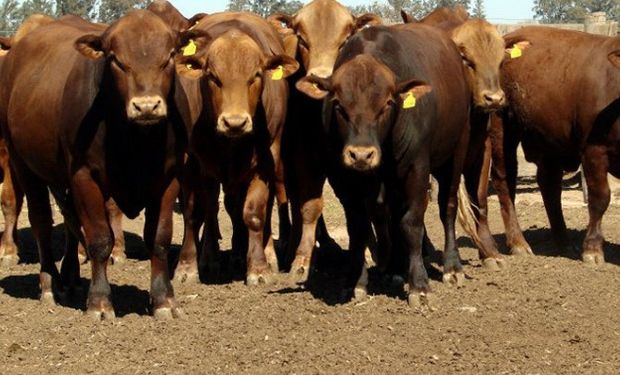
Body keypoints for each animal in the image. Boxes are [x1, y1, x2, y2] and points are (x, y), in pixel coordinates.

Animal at [0, 10, 189, 318]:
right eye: (116, 59)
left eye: (169, 56)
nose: (146, 106)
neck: (137, 141)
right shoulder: (84, 177)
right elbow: (100, 240)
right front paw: (100, 301)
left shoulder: (169, 179)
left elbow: (159, 239)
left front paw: (164, 299)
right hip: (23, 165)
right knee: (41, 222)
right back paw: (50, 284)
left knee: (69, 221)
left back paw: (70, 277)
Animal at [173, 13, 300, 286]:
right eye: (213, 76)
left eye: (256, 75)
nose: (235, 122)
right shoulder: (191, 163)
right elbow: (193, 213)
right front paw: (187, 266)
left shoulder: (264, 161)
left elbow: (254, 213)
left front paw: (259, 267)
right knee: (212, 207)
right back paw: (210, 257)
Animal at [268, 0, 380, 282]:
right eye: (302, 39)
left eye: (345, 40)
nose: (320, 81)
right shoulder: (303, 156)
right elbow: (309, 206)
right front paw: (302, 259)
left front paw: (367, 252)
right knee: (291, 201)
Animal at [300, 22, 470, 306]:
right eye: (339, 105)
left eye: (387, 103)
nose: (361, 155)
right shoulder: (342, 178)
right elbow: (359, 227)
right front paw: (355, 281)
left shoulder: (417, 170)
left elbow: (411, 223)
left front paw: (419, 285)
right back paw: (395, 269)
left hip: (455, 154)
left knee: (447, 207)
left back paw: (451, 266)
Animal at [492, 26, 616, 266]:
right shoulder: (594, 151)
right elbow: (600, 198)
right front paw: (593, 249)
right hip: (502, 128)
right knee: (505, 180)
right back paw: (518, 243)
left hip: (550, 140)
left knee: (549, 185)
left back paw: (563, 242)